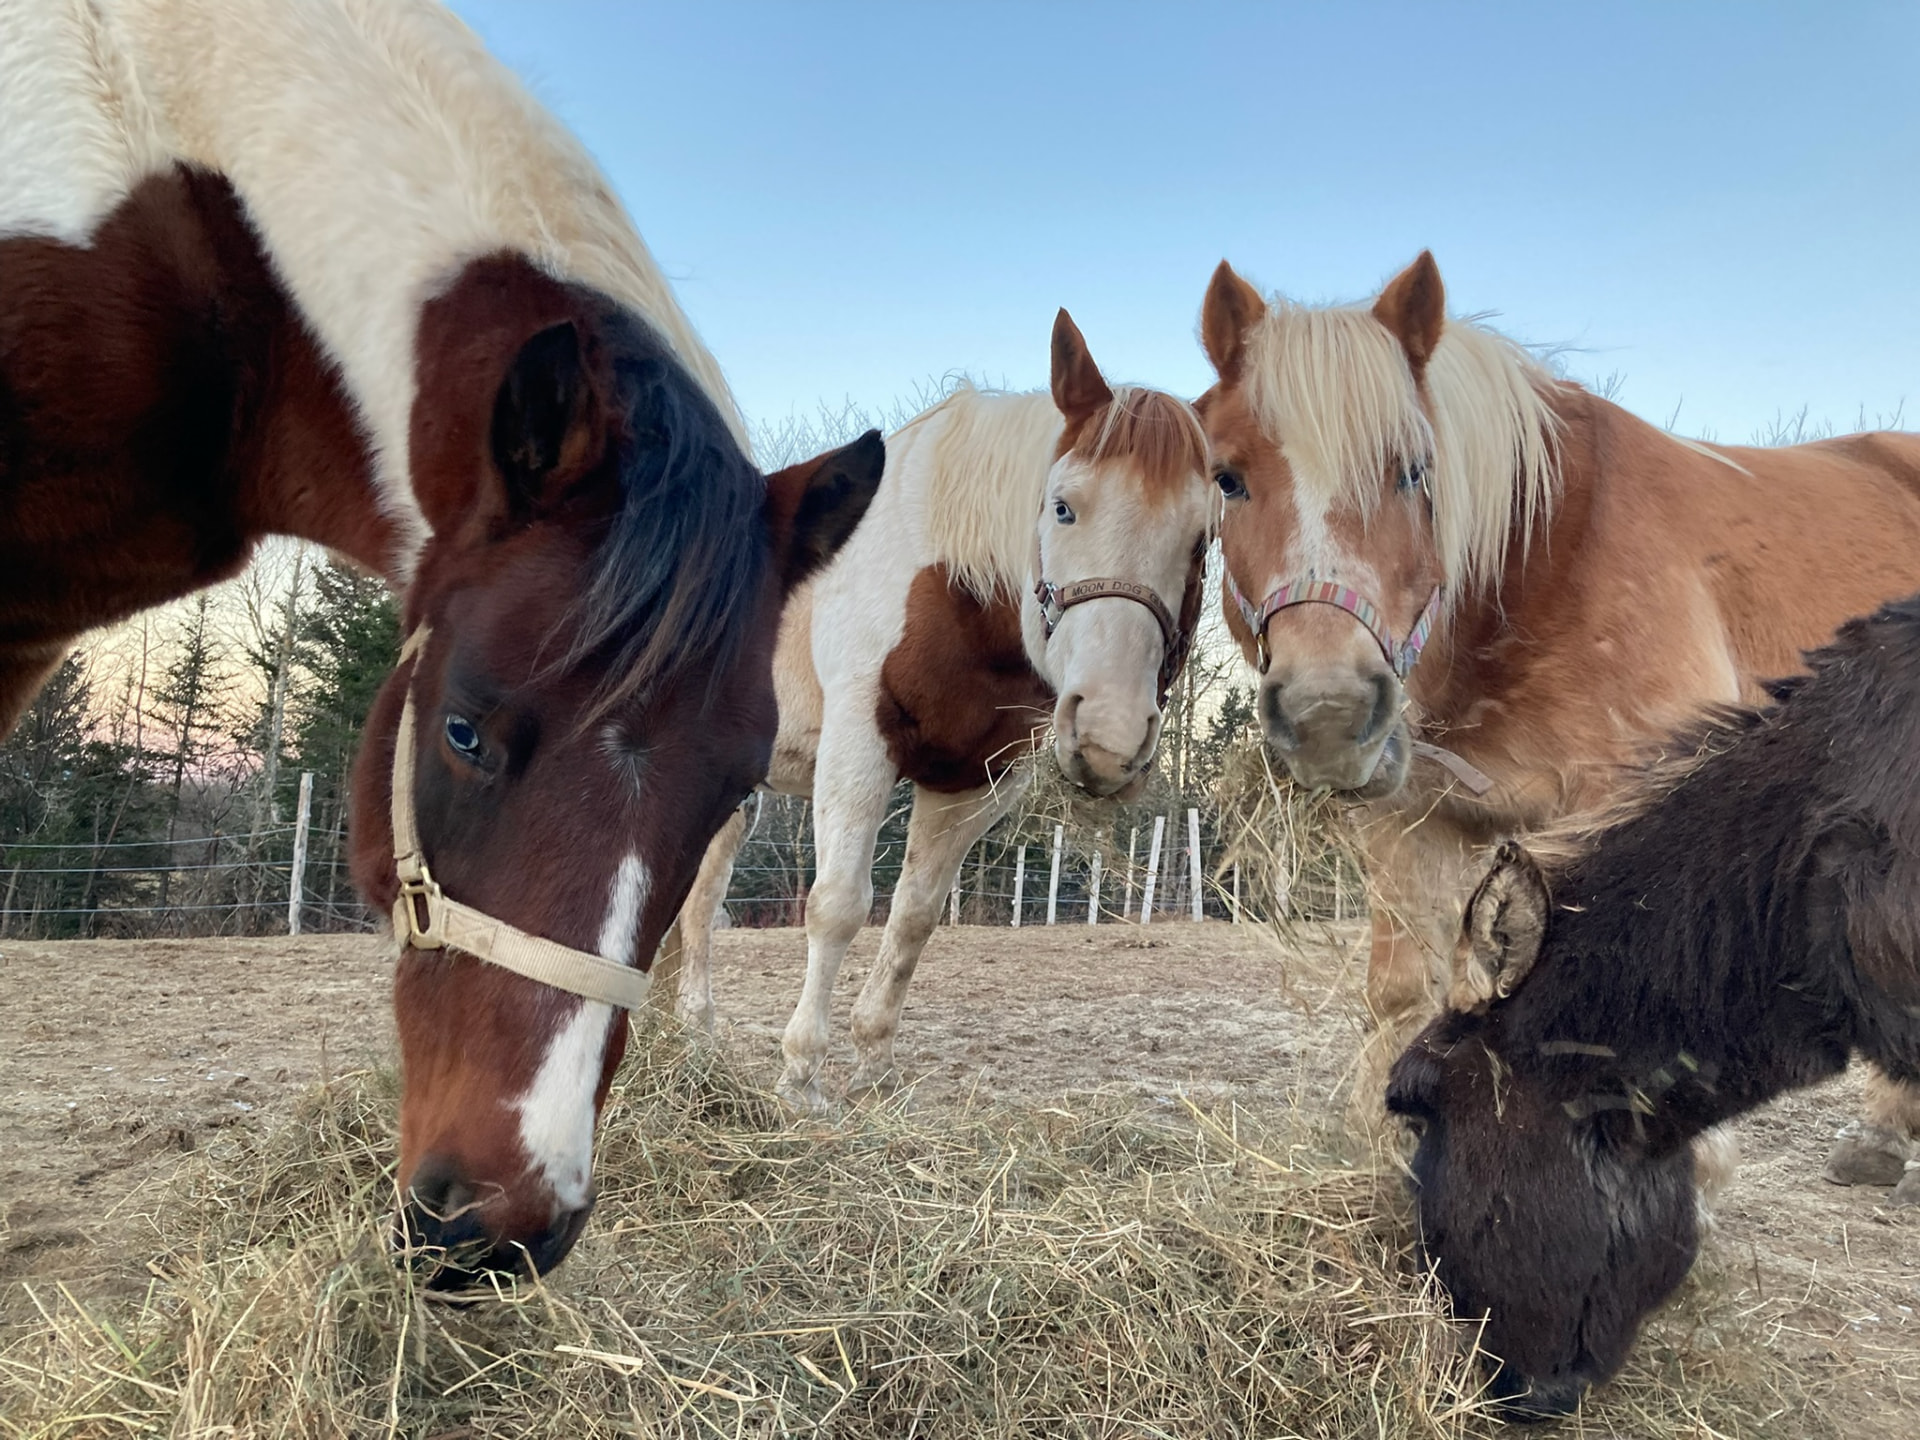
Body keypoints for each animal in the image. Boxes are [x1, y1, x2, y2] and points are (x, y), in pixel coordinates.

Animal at [662, 312, 1216, 1110]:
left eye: (1202, 537)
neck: (951, 588)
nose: (1109, 735)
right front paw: (802, 1076)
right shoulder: (859, 749)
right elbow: (838, 905)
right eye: (1062, 506)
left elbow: (914, 917)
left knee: (699, 900)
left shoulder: (975, 781)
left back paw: (685, 1033)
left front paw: (874, 1066)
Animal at [1195, 250, 1920, 1190]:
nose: (1330, 711)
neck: (1539, 556)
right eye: (1228, 477)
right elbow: (1404, 989)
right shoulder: (1414, 823)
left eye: (1414, 471)